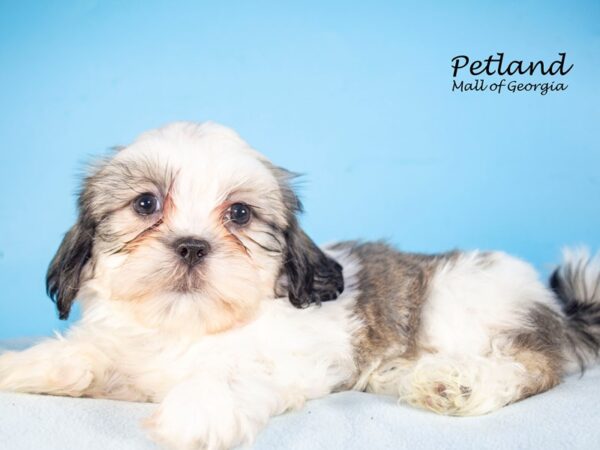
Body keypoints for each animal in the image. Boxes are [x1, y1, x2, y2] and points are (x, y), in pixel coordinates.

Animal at [1, 120, 600, 450]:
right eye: (145, 204)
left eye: (240, 214)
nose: (192, 245)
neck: (188, 330)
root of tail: (554, 306)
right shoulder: (125, 357)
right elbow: (86, 354)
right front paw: (23, 365)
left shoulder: (291, 360)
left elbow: (232, 374)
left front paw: (199, 409)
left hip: (462, 302)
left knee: (530, 367)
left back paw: (456, 382)